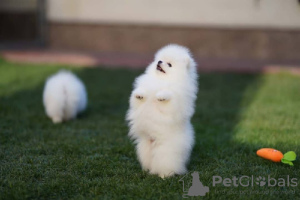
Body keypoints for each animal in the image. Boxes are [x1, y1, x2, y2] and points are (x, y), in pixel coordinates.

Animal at [127, 44, 199, 178]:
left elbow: (168, 95)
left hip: (166, 152)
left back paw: (164, 176)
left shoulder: (175, 103)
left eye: (169, 64)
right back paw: (147, 171)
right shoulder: (140, 100)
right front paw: (140, 94)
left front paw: (161, 96)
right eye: (160, 59)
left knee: (166, 165)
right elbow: (139, 97)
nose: (159, 62)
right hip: (144, 149)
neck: (161, 80)